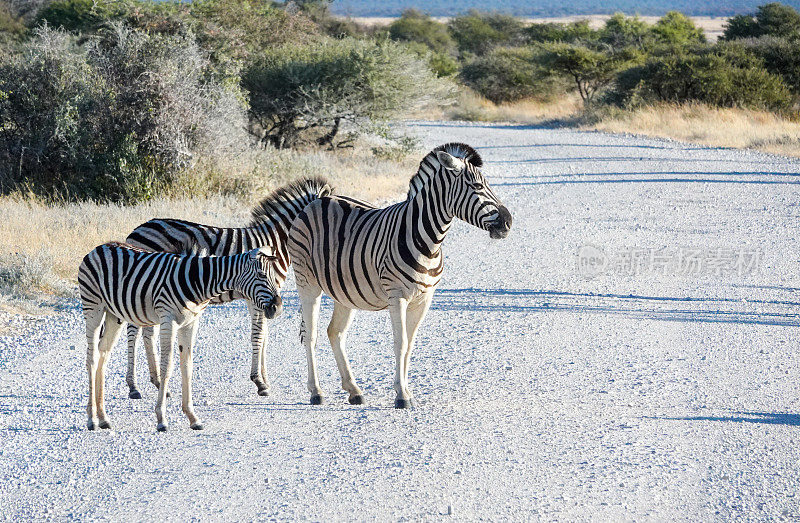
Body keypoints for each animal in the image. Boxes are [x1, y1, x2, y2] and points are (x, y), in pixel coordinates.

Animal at [78, 244, 282, 432]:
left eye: (273, 276)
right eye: (262, 275)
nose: (278, 308)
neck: (198, 281)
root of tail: (98, 248)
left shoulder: (190, 324)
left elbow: (187, 366)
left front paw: (193, 417)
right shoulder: (168, 320)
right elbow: (167, 367)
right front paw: (161, 419)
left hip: (114, 315)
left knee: (103, 355)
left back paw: (103, 418)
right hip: (93, 308)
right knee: (92, 358)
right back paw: (92, 419)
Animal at [122, 178, 334, 400]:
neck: (275, 244)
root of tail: (137, 230)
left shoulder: (263, 298)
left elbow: (264, 336)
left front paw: (265, 379)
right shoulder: (258, 295)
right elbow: (258, 335)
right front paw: (259, 382)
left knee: (147, 333)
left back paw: (156, 382)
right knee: (133, 332)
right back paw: (134, 386)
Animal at [290, 142, 512, 410]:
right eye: (478, 186)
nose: (508, 222)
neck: (429, 241)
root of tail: (318, 200)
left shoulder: (424, 299)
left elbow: (411, 345)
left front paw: (406, 390)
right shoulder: (398, 297)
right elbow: (401, 343)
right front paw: (402, 396)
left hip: (344, 291)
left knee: (335, 332)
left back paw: (354, 390)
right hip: (307, 282)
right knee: (310, 335)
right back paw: (316, 392)